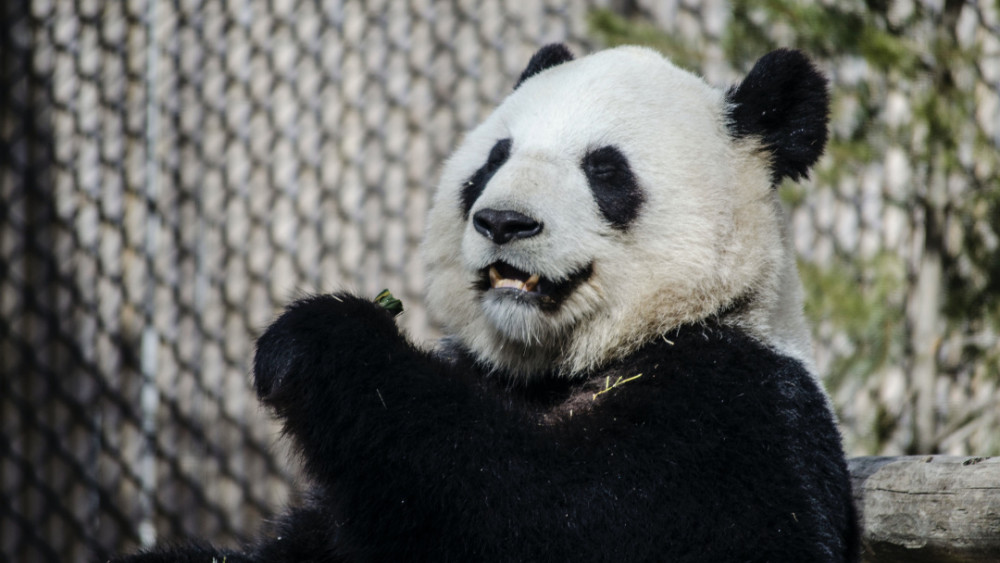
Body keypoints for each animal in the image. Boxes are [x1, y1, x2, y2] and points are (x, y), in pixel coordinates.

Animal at [113, 44, 856, 563]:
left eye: (604, 169)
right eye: (493, 159)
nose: (504, 221)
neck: (563, 366)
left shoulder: (736, 413)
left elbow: (542, 514)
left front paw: (318, 341)